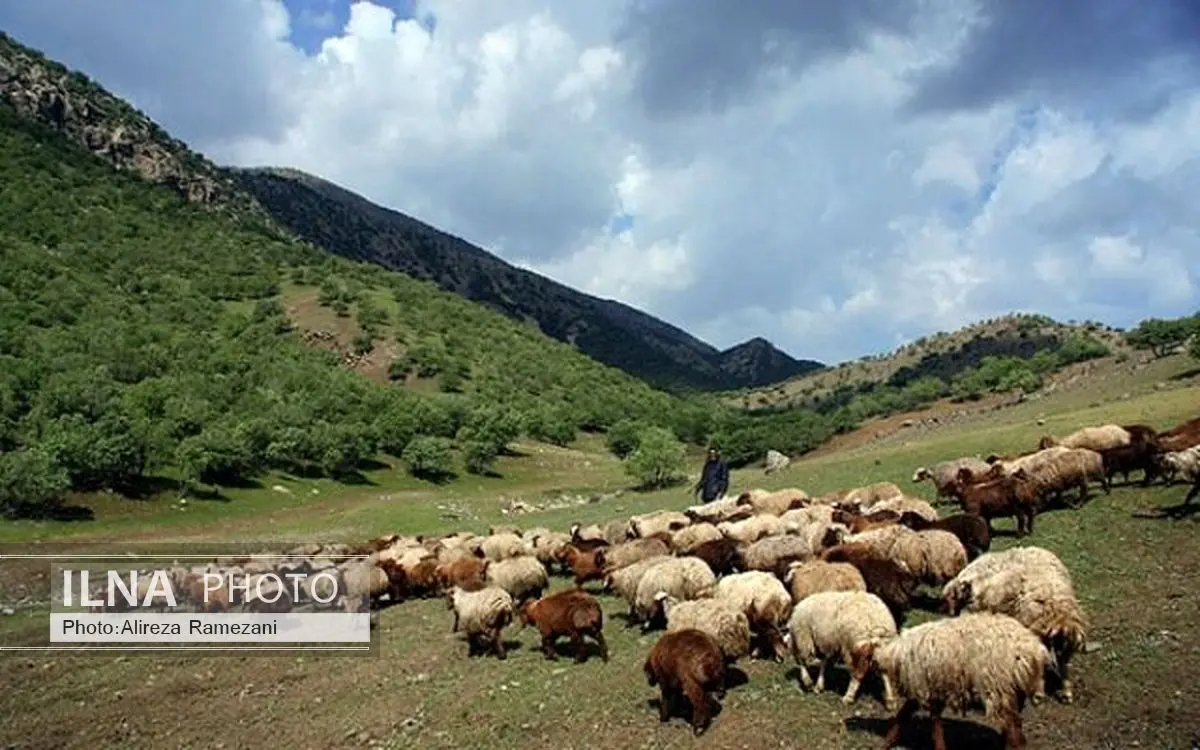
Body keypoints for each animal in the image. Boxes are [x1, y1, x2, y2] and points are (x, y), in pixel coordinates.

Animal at [873, 612, 1051, 748]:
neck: (894, 653)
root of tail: (1034, 649)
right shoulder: (931, 688)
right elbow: (910, 714)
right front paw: (888, 741)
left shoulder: (924, 685)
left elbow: (929, 719)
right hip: (1012, 688)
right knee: (1015, 721)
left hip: (998, 685)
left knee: (1012, 722)